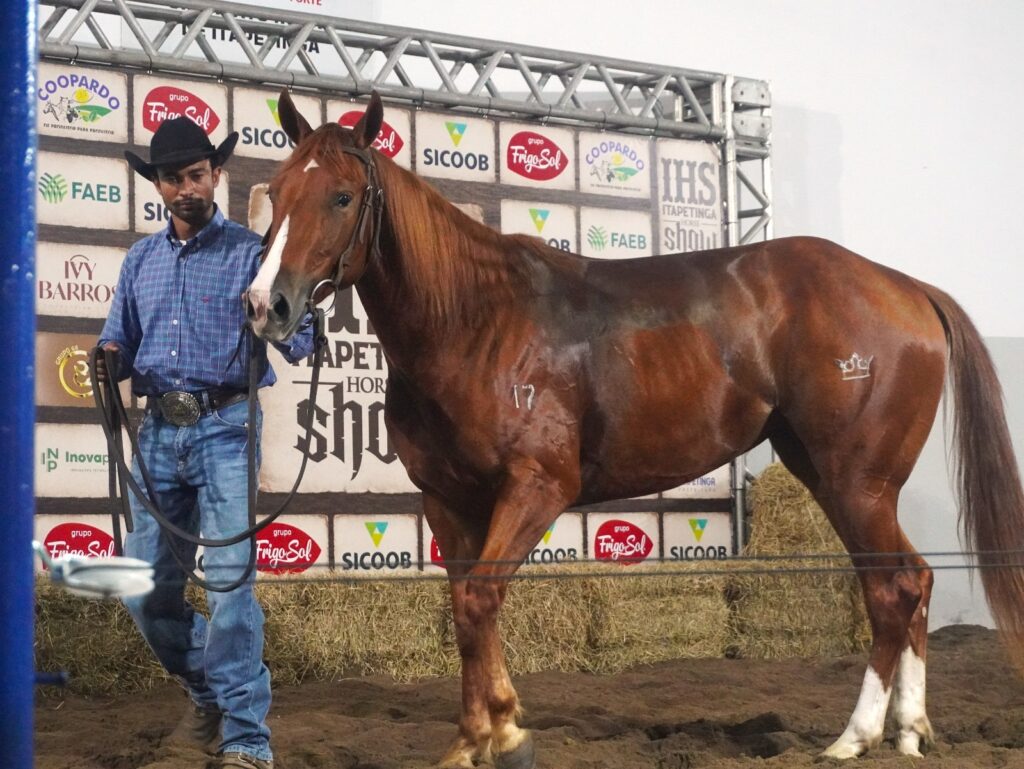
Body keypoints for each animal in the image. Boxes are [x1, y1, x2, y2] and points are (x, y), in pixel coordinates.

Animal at [245, 90, 1024, 768]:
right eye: (276, 192)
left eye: (342, 196)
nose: (266, 305)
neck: (477, 320)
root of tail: (907, 288)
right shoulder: (449, 500)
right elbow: (467, 611)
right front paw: (472, 740)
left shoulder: (536, 488)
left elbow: (480, 601)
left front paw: (507, 733)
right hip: (838, 477)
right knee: (913, 581)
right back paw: (909, 732)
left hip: (857, 479)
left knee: (891, 591)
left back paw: (853, 737)